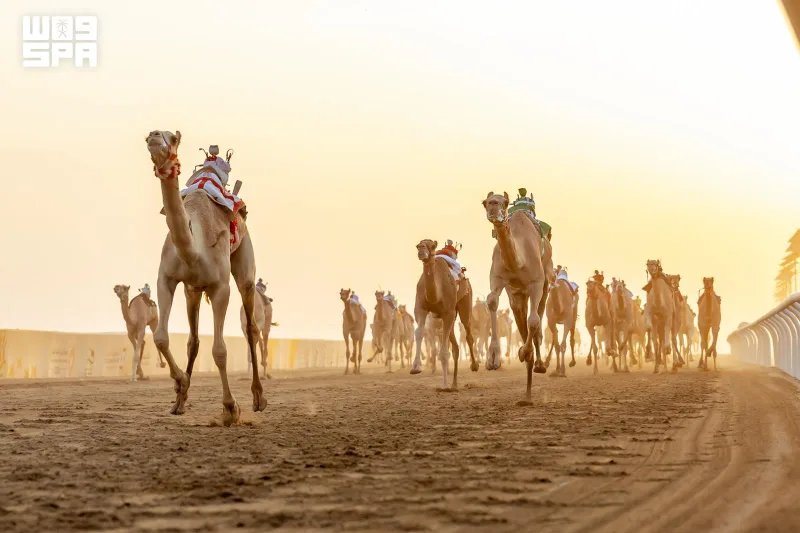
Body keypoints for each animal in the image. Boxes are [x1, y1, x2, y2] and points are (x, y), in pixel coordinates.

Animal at [145, 130, 265, 425]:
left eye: (173, 139)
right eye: (149, 136)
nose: (154, 136)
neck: (194, 247)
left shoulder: (220, 287)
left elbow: (220, 351)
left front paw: (231, 409)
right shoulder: (167, 279)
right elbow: (161, 336)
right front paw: (181, 384)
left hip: (244, 265)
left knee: (252, 328)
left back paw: (258, 398)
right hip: (192, 290)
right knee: (193, 340)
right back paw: (180, 402)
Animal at [410, 239, 478, 390]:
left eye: (431, 246)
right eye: (417, 245)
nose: (421, 250)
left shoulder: (448, 313)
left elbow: (444, 353)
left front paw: (444, 385)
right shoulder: (420, 309)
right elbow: (419, 333)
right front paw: (416, 367)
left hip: (465, 303)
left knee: (468, 334)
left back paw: (474, 366)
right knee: (455, 347)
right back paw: (454, 385)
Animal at [482, 191, 553, 403]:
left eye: (505, 203)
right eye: (485, 203)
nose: (493, 206)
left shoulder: (536, 282)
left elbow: (534, 322)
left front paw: (525, 352)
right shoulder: (498, 279)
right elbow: (492, 300)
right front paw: (493, 359)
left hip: (546, 282)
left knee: (537, 319)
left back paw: (538, 364)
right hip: (517, 296)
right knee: (522, 324)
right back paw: (527, 390)